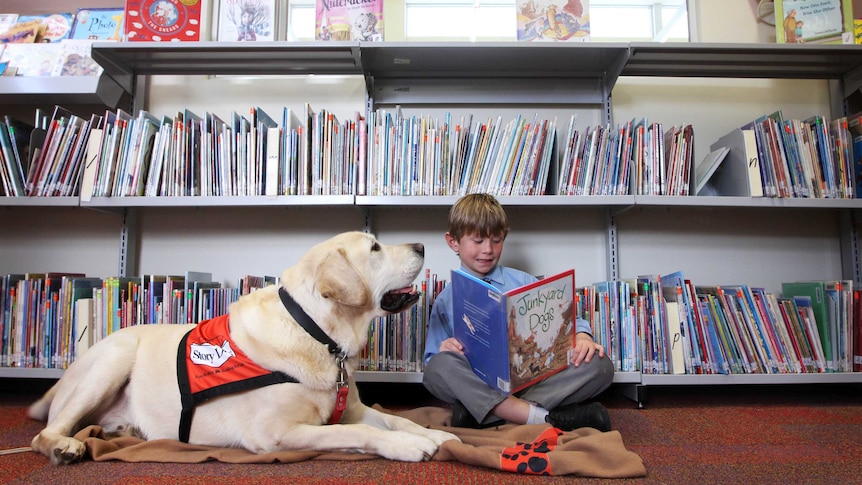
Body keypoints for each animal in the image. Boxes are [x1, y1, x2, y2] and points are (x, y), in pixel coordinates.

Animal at [27, 232, 460, 466]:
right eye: (374, 249)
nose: (422, 244)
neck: (315, 330)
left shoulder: (351, 408)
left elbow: (396, 420)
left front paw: (435, 435)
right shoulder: (276, 434)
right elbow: (360, 433)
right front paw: (408, 446)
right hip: (113, 358)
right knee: (45, 433)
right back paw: (65, 446)